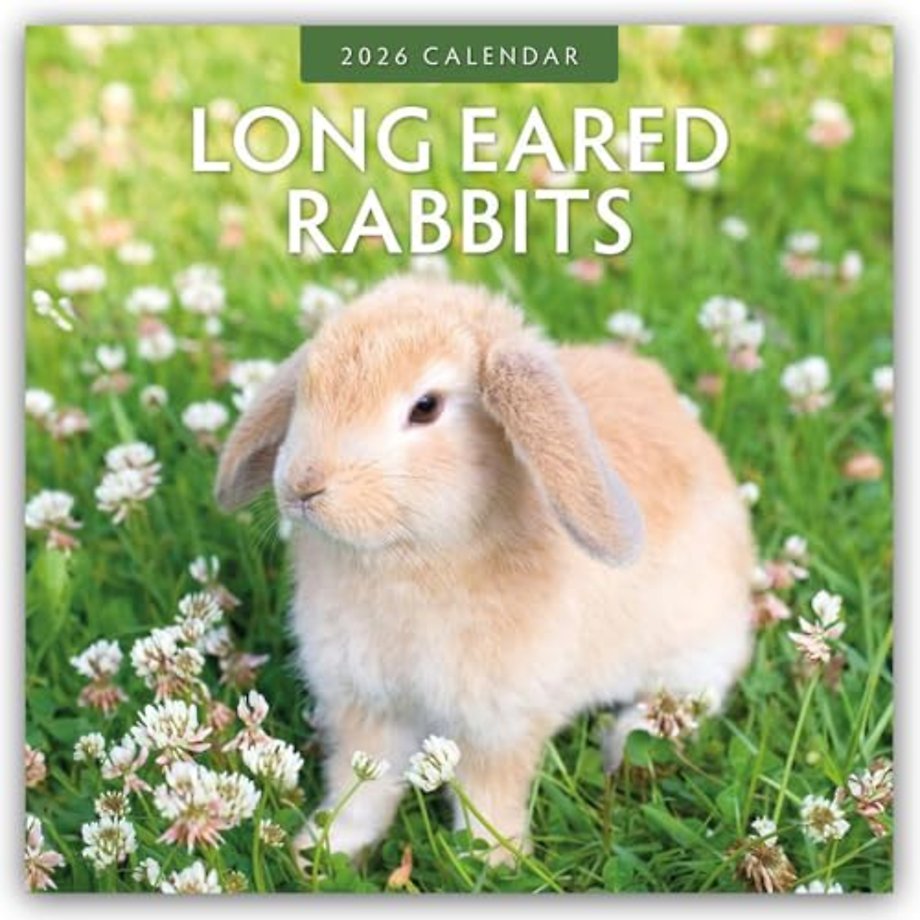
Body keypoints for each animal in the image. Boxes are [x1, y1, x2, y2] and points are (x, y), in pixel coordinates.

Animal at [215, 275, 754, 864]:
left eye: (425, 407)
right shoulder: (365, 707)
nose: (303, 485)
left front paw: (497, 861)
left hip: (694, 647)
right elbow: (361, 786)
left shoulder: (499, 723)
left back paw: (627, 742)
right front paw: (323, 849)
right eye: (306, 386)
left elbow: (488, 797)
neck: (408, 560)